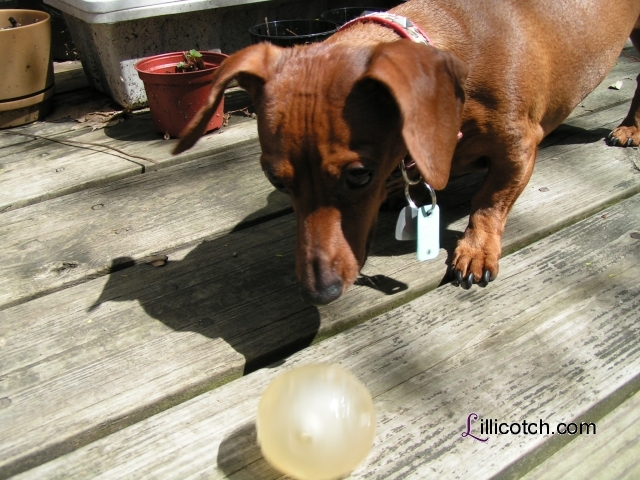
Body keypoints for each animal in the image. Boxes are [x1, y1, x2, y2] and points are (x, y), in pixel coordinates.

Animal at [172, 0, 640, 304]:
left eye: (359, 175)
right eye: (275, 179)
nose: (320, 293)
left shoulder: (520, 146)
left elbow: (489, 201)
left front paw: (475, 249)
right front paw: (398, 189)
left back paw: (630, 127)